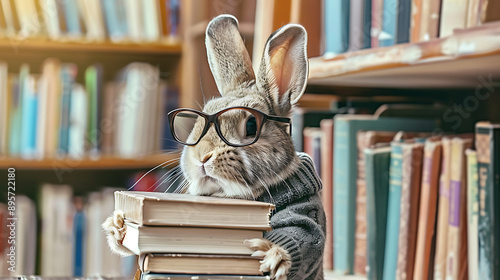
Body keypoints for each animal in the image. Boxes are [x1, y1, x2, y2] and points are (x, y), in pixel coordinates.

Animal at [103, 14, 326, 280]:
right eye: (199, 121)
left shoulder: (306, 213)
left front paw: (272, 257)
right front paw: (116, 226)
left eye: (251, 125)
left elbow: (304, 234)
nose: (202, 156)